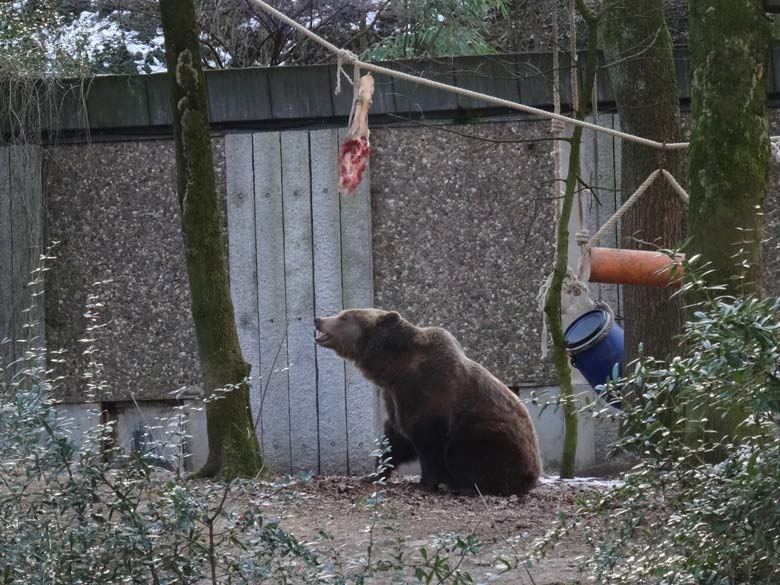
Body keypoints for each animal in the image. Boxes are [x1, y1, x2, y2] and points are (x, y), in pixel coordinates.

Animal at [312, 308, 544, 496]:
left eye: (344, 316)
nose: (318, 319)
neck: (394, 369)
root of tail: (533, 475)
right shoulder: (395, 398)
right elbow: (394, 440)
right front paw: (372, 475)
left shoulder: (430, 392)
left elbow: (428, 441)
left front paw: (425, 483)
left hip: (494, 440)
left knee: (467, 453)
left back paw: (466, 485)